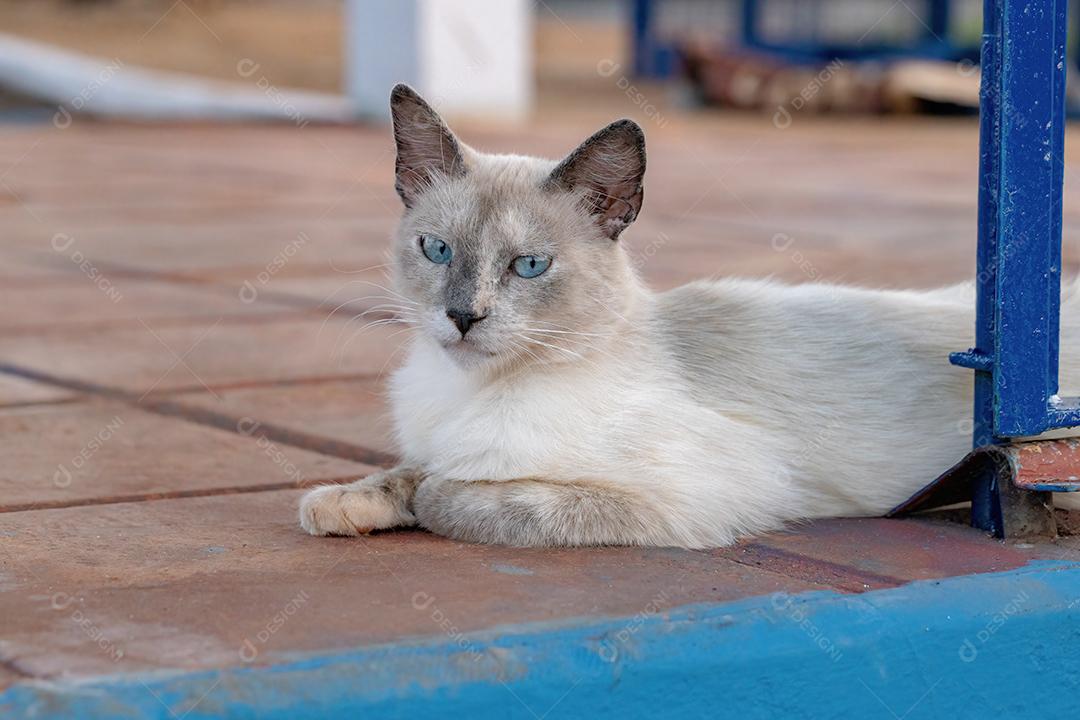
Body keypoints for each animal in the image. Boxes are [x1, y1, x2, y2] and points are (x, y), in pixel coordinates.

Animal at [298, 83, 1080, 546]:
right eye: (436, 250)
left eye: (529, 266)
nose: (462, 317)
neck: (469, 390)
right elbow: (402, 472)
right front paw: (336, 504)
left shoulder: (699, 495)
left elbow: (467, 497)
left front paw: (435, 494)